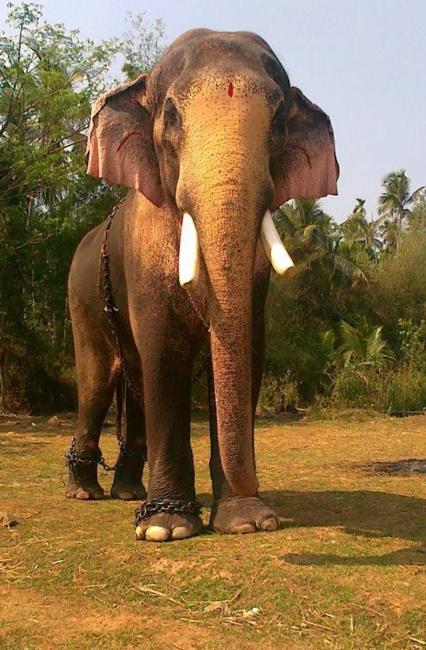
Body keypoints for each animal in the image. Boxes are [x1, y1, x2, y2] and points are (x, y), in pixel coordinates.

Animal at [67, 27, 340, 540]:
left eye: (278, 121)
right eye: (171, 116)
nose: (256, 484)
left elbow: (246, 350)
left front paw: (247, 521)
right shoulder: (144, 261)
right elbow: (164, 353)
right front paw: (167, 528)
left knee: (131, 384)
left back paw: (129, 493)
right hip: (81, 299)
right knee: (95, 383)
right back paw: (84, 493)